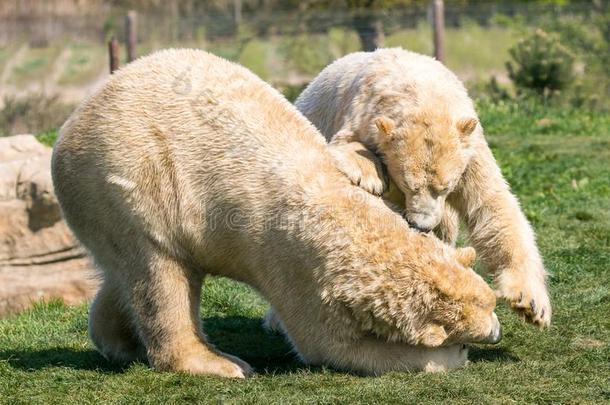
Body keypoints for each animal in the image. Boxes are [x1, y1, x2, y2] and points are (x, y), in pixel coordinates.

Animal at [51, 49, 498, 376]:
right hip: (126, 182)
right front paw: (448, 357)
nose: (495, 331)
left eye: (492, 302)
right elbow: (329, 344)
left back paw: (118, 342)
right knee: (160, 273)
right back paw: (221, 365)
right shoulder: (298, 266)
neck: (345, 221)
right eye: (482, 318)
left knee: (134, 271)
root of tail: (75, 120)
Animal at [294, 47, 552, 326]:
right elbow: (346, 143)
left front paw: (531, 304)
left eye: (445, 187)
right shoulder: (360, 115)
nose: (421, 224)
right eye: (407, 185)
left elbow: (490, 203)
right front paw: (369, 175)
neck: (421, 91)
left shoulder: (470, 149)